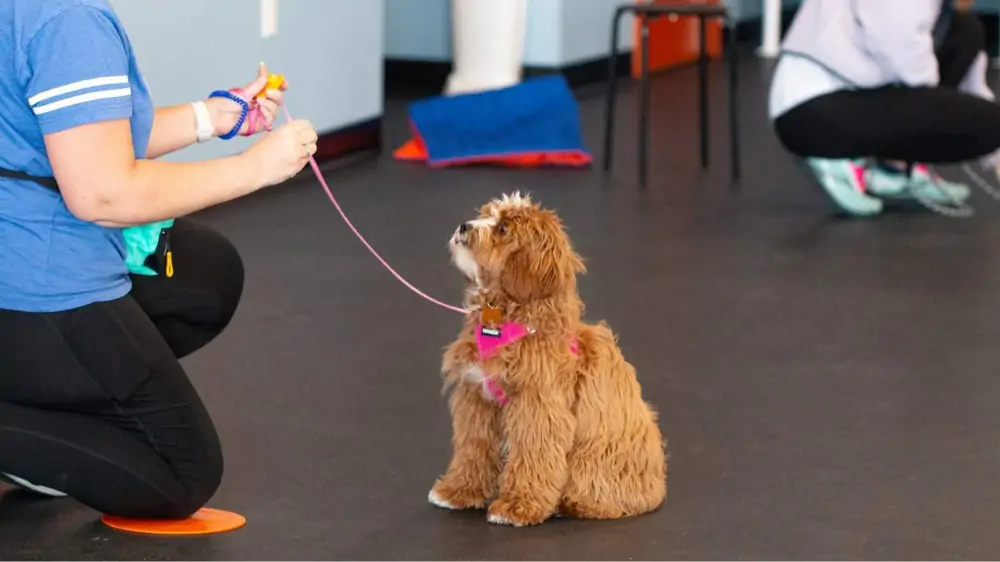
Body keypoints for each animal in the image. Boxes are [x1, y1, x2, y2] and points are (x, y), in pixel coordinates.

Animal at [428, 191, 668, 524]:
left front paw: (518, 506)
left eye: (503, 229)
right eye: (486, 215)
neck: (506, 318)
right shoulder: (477, 400)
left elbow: (533, 455)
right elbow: (472, 448)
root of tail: (656, 489)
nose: (464, 226)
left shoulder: (538, 406)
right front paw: (458, 491)